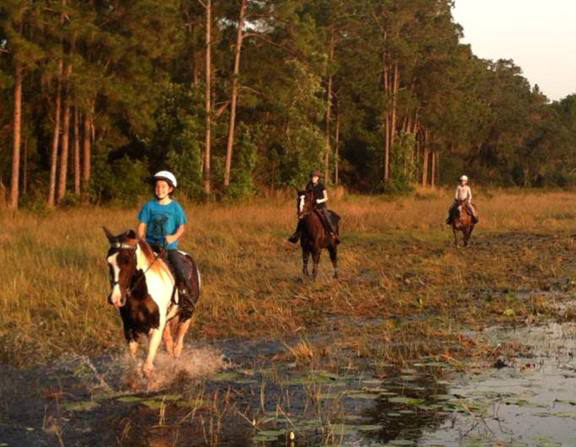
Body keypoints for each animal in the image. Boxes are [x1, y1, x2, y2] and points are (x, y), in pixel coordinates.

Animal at [103, 229, 200, 380]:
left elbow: (147, 368)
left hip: (186, 314)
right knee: (169, 344)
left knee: (178, 344)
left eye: (127, 261)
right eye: (109, 262)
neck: (141, 294)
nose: (115, 299)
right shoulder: (129, 329)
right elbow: (136, 365)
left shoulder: (155, 328)